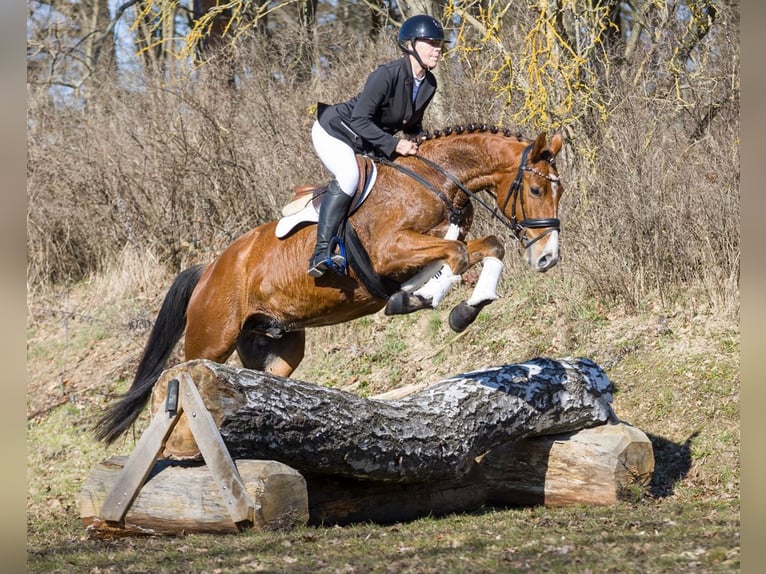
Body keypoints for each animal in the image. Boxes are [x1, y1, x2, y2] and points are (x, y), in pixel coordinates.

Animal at [94, 125, 565, 445]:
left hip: (277, 346)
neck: (436, 179)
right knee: (181, 377)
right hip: (211, 339)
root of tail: (210, 268)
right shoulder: (391, 250)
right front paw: (421, 299)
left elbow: (484, 247)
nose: (547, 258)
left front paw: (460, 306)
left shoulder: (428, 247)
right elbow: (457, 255)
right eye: (535, 189)